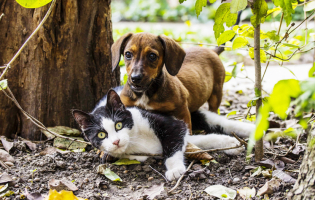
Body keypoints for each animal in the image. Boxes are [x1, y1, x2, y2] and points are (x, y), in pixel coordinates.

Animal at [73, 88, 256, 180]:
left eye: (119, 125)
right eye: (101, 135)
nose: (116, 141)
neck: (134, 139)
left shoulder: (170, 123)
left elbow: (173, 143)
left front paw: (174, 169)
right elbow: (194, 140)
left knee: (221, 122)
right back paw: (233, 143)